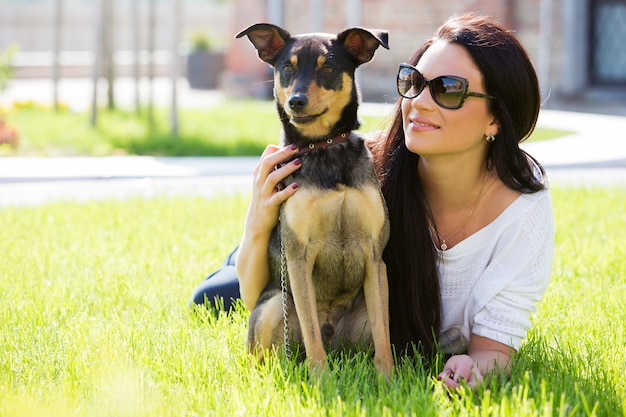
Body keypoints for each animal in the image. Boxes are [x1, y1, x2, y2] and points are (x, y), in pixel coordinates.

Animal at [236, 22, 392, 376]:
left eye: (329, 69)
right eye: (287, 68)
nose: (296, 101)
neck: (324, 147)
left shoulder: (375, 256)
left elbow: (384, 336)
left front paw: (388, 378)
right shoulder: (298, 257)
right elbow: (310, 334)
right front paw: (321, 379)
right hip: (274, 305)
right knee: (274, 353)